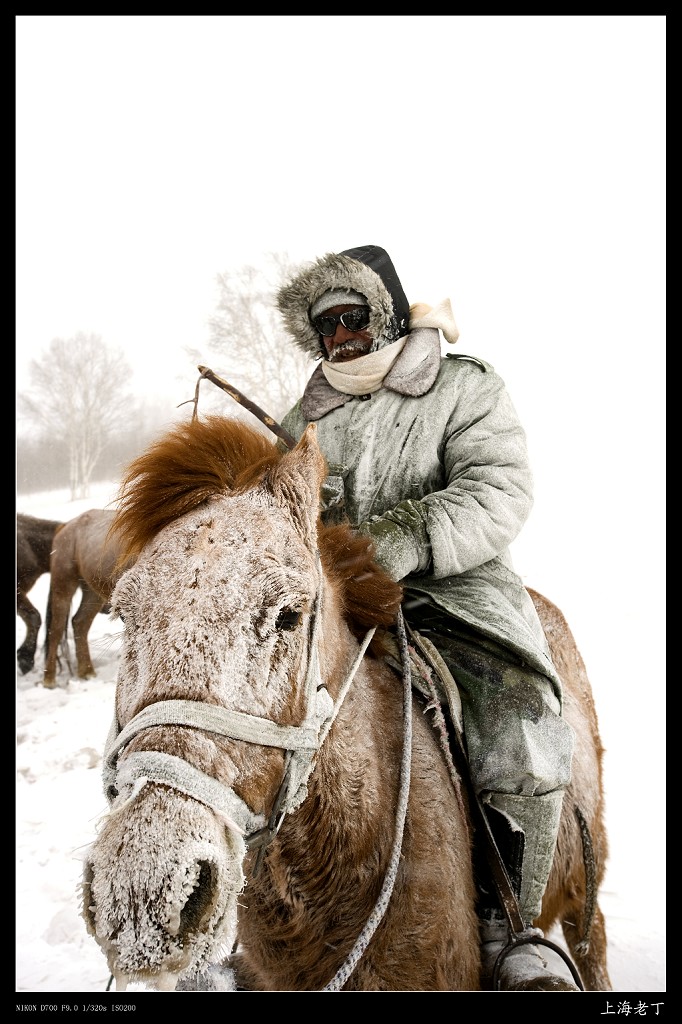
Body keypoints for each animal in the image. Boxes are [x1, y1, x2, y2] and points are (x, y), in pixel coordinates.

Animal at [42, 509, 133, 688]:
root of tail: (67, 526)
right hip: (63, 585)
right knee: (56, 630)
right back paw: (49, 679)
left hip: (92, 592)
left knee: (80, 623)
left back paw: (86, 671)